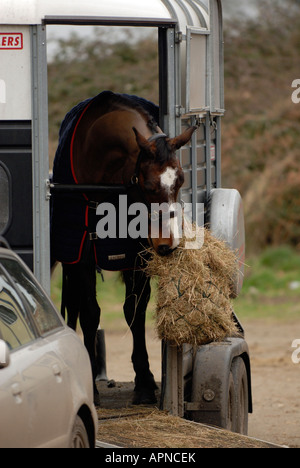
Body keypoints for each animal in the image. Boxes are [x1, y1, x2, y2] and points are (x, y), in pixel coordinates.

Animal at [51, 91, 197, 406]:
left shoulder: (136, 258)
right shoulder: (82, 256)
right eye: (150, 186)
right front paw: (91, 388)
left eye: (180, 180)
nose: (168, 243)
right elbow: (90, 313)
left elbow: (135, 311)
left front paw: (144, 382)